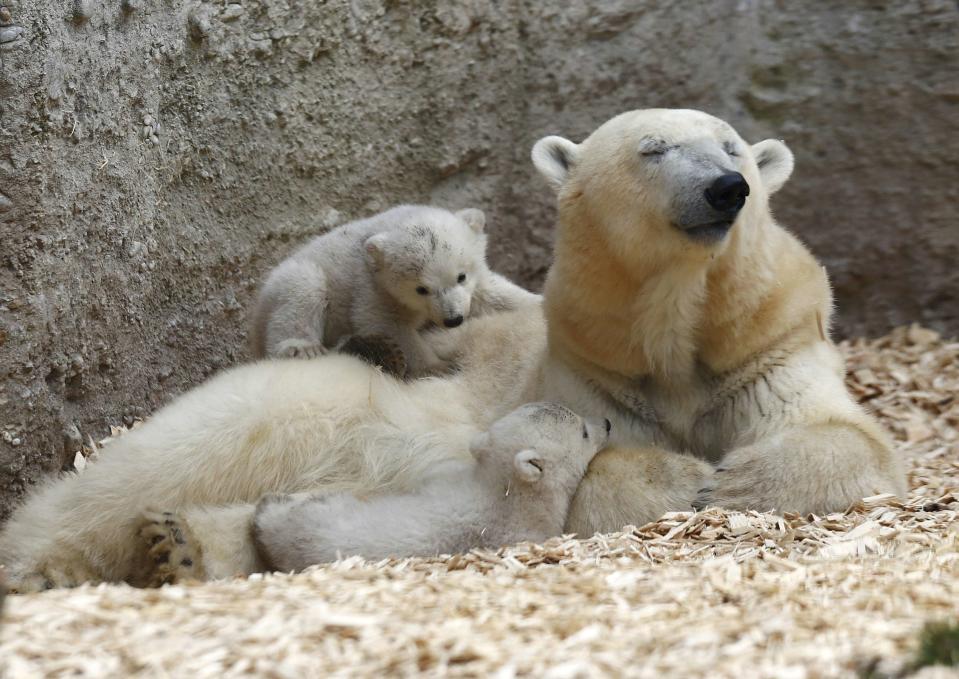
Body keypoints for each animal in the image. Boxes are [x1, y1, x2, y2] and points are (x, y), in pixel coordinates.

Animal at [0, 111, 904, 588]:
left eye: (732, 146)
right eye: (652, 149)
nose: (726, 188)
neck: (672, 336)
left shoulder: (765, 346)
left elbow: (846, 438)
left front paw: (737, 475)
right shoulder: (585, 373)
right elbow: (595, 470)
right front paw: (690, 478)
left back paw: (179, 543)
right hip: (309, 403)